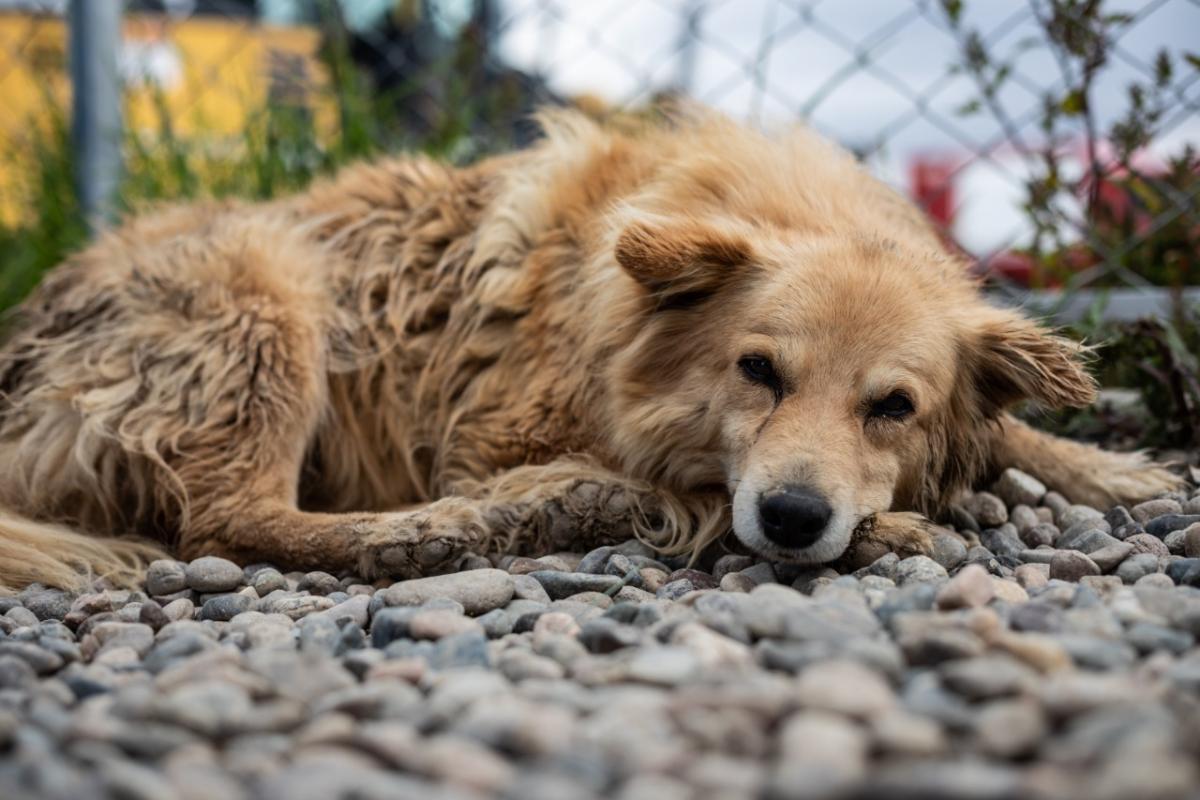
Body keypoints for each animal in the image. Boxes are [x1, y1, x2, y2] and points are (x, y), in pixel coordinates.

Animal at [0, 109, 1180, 592]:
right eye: (758, 371)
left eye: (894, 406)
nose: (796, 517)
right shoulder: (502, 435)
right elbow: (678, 487)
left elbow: (1019, 425)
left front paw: (1115, 466)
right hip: (269, 297)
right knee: (236, 516)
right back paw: (458, 524)